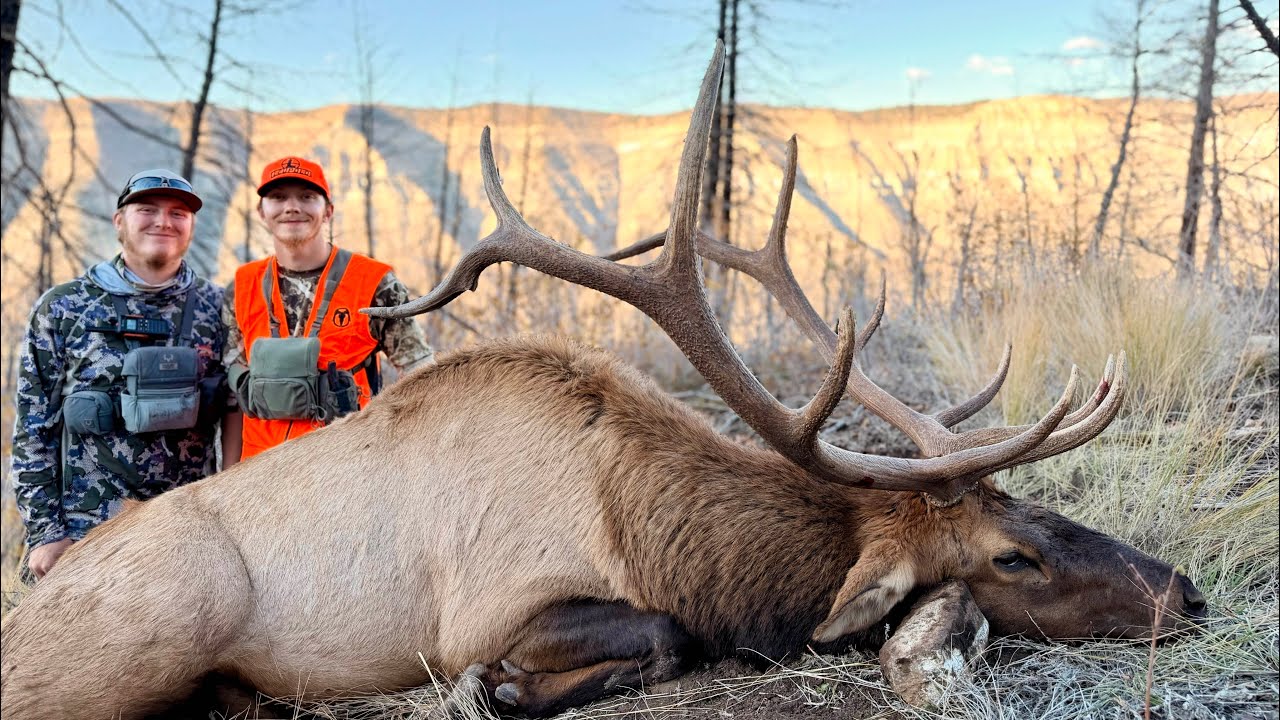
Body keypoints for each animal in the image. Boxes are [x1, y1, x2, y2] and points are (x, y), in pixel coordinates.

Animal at [1, 44, 1205, 720]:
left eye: (1038, 508)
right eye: (1012, 557)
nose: (1184, 592)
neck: (659, 525)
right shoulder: (484, 613)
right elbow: (658, 636)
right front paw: (506, 690)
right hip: (148, 628)